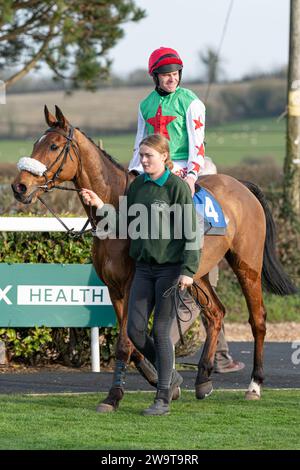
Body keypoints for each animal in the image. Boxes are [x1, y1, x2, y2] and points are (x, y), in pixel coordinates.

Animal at [11, 106, 296, 412]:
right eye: (35, 144)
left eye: (53, 146)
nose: (19, 186)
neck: (119, 212)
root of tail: (241, 185)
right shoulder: (114, 289)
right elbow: (134, 342)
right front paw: (165, 378)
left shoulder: (132, 285)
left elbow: (126, 344)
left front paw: (115, 396)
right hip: (197, 275)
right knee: (215, 313)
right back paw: (203, 379)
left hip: (247, 265)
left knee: (258, 319)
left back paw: (254, 384)